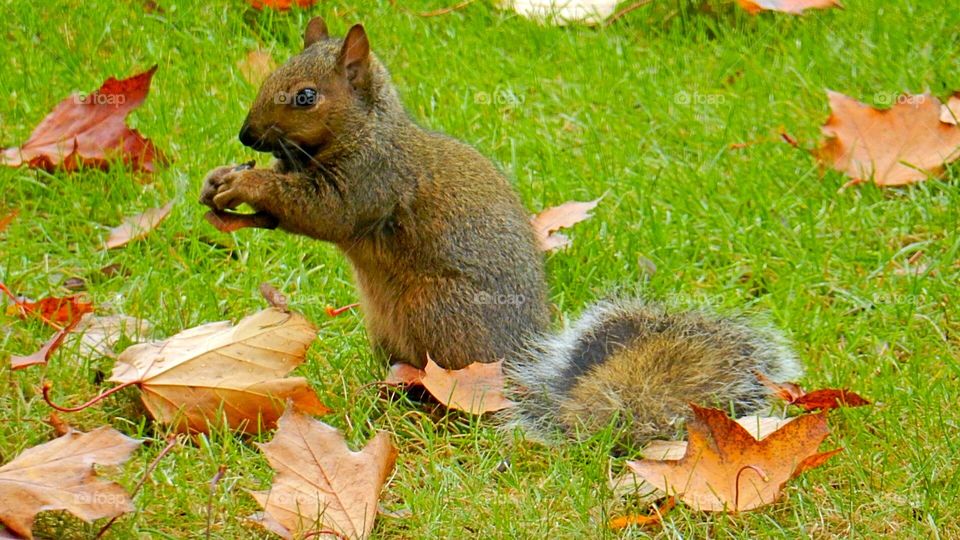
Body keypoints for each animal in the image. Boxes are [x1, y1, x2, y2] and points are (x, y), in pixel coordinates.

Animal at [202, 17, 804, 448]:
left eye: (306, 96)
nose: (247, 134)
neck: (364, 131)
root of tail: (518, 365)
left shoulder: (373, 180)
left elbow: (325, 213)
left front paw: (245, 183)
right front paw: (220, 187)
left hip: (436, 314)